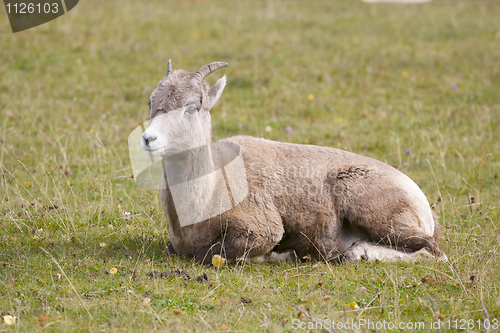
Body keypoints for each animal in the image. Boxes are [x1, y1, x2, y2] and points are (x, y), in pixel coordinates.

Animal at [142, 61, 450, 264]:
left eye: (192, 108)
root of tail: (420, 200)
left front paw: (283, 255)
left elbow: (210, 255)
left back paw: (355, 253)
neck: (209, 191)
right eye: (150, 102)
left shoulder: (263, 230)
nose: (147, 139)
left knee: (432, 252)